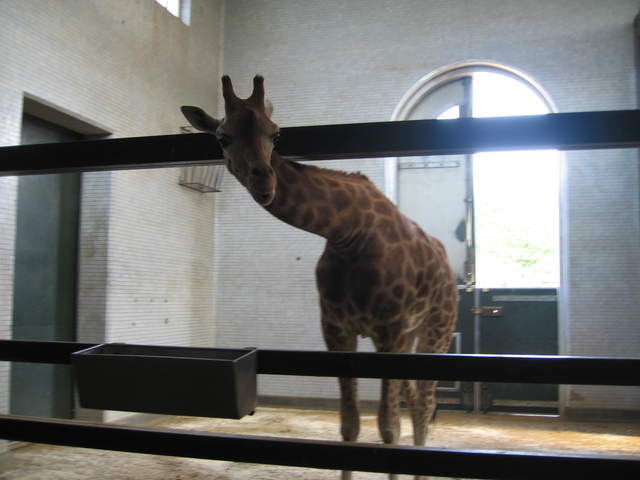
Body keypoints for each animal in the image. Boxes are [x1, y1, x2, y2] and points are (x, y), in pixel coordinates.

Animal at [181, 75, 459, 480]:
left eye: (276, 134)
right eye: (223, 137)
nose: (264, 183)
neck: (348, 232)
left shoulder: (388, 329)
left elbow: (387, 428)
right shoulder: (337, 329)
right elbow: (350, 426)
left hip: (436, 327)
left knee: (424, 401)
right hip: (410, 335)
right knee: (414, 399)